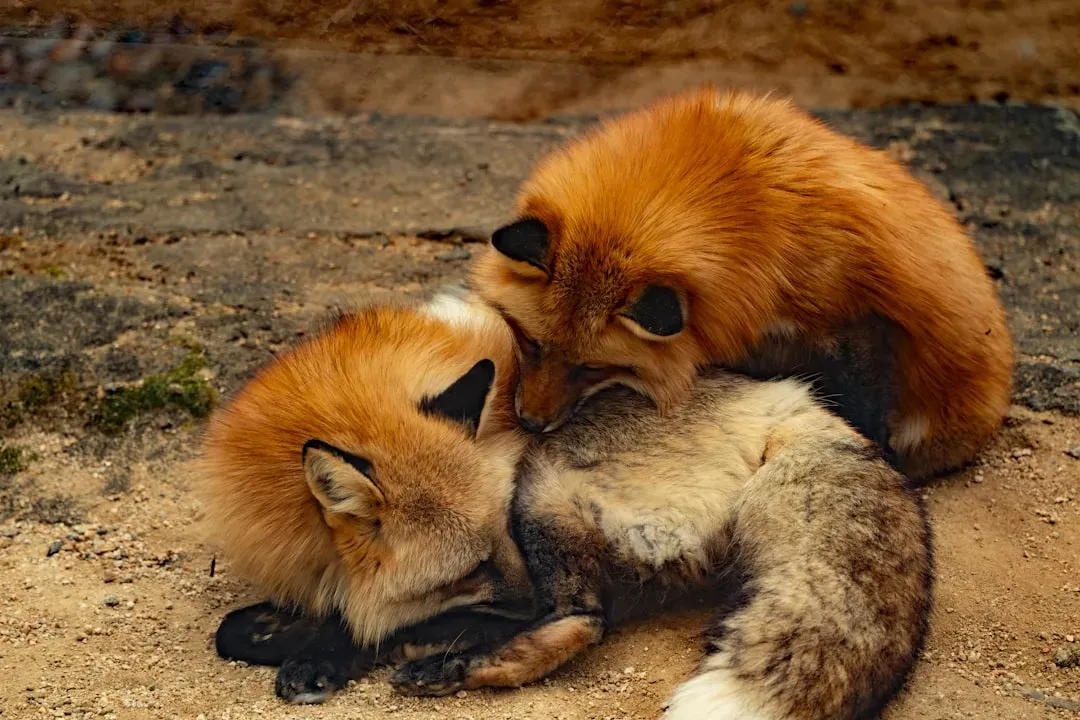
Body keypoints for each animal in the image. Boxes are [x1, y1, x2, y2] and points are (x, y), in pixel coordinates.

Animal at [202, 292, 934, 719]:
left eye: (498, 542)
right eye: (472, 568)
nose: (520, 592)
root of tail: (790, 402)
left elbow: (357, 622)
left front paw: (326, 651)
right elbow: (243, 627)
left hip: (545, 486)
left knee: (582, 619)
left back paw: (452, 664)